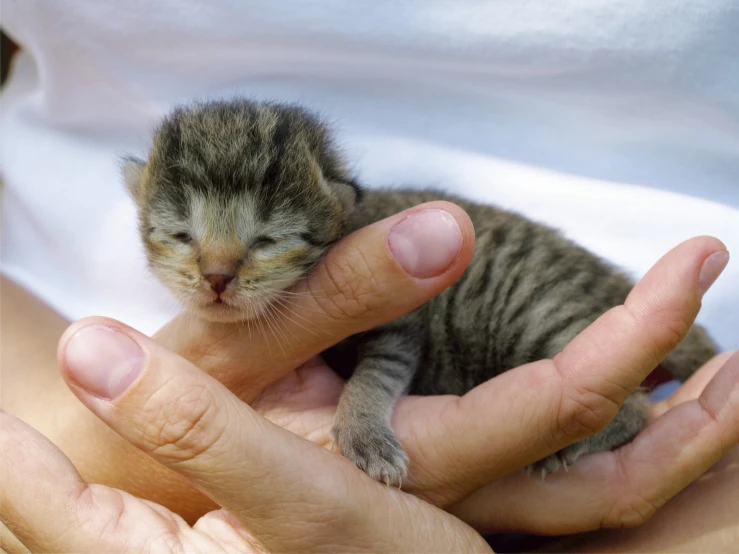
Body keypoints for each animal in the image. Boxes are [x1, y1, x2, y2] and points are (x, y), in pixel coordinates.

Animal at [124, 98, 720, 484]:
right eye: (181, 235)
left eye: (268, 240)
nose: (217, 277)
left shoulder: (400, 327)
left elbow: (373, 376)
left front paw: (363, 432)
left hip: (536, 315)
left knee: (637, 410)